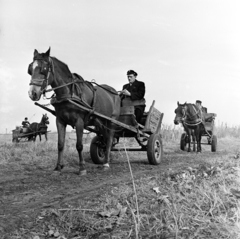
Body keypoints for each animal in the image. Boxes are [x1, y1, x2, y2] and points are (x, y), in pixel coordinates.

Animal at [27, 47, 121, 175]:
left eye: (44, 69)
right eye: (30, 69)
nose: (32, 93)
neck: (68, 94)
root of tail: (116, 92)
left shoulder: (79, 121)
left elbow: (79, 145)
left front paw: (82, 168)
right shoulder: (60, 120)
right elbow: (60, 144)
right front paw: (58, 167)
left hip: (112, 121)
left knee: (110, 139)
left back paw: (106, 163)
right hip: (100, 122)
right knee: (105, 140)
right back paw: (104, 159)